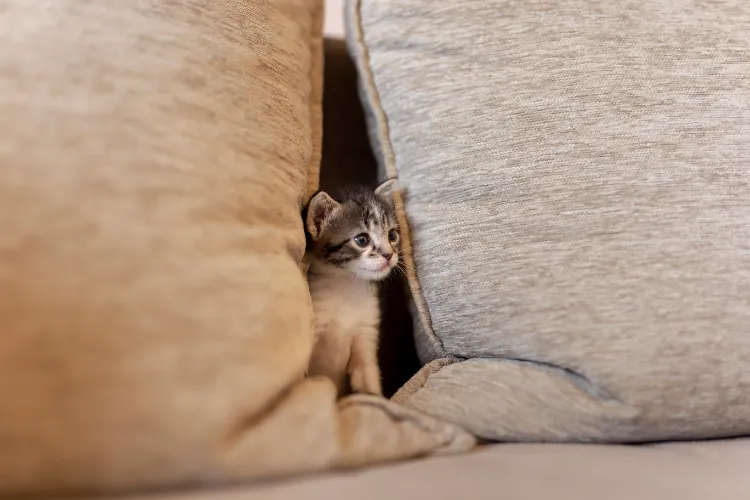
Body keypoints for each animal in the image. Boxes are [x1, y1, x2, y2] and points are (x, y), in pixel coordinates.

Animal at [304, 178, 402, 396]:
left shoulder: (365, 334)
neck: (347, 284)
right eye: (362, 240)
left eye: (392, 235)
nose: (389, 254)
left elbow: (368, 383)